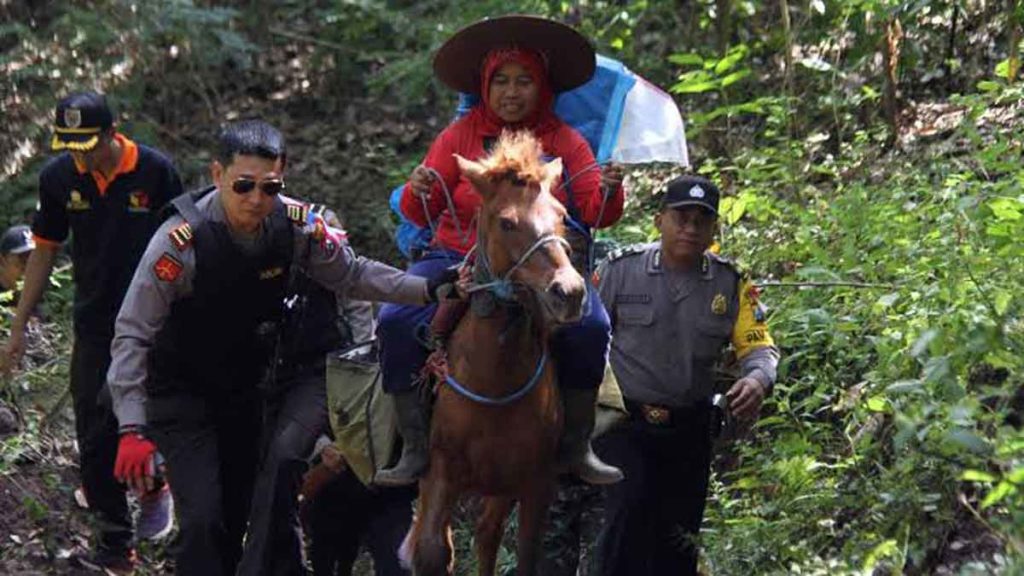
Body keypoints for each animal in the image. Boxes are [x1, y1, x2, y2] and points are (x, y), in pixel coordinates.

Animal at [403, 131, 589, 573]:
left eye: (561, 214)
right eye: (507, 222)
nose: (569, 292)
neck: (494, 378)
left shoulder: (535, 482)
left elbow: (525, 552)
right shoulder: (441, 475)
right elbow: (433, 551)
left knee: (488, 535)